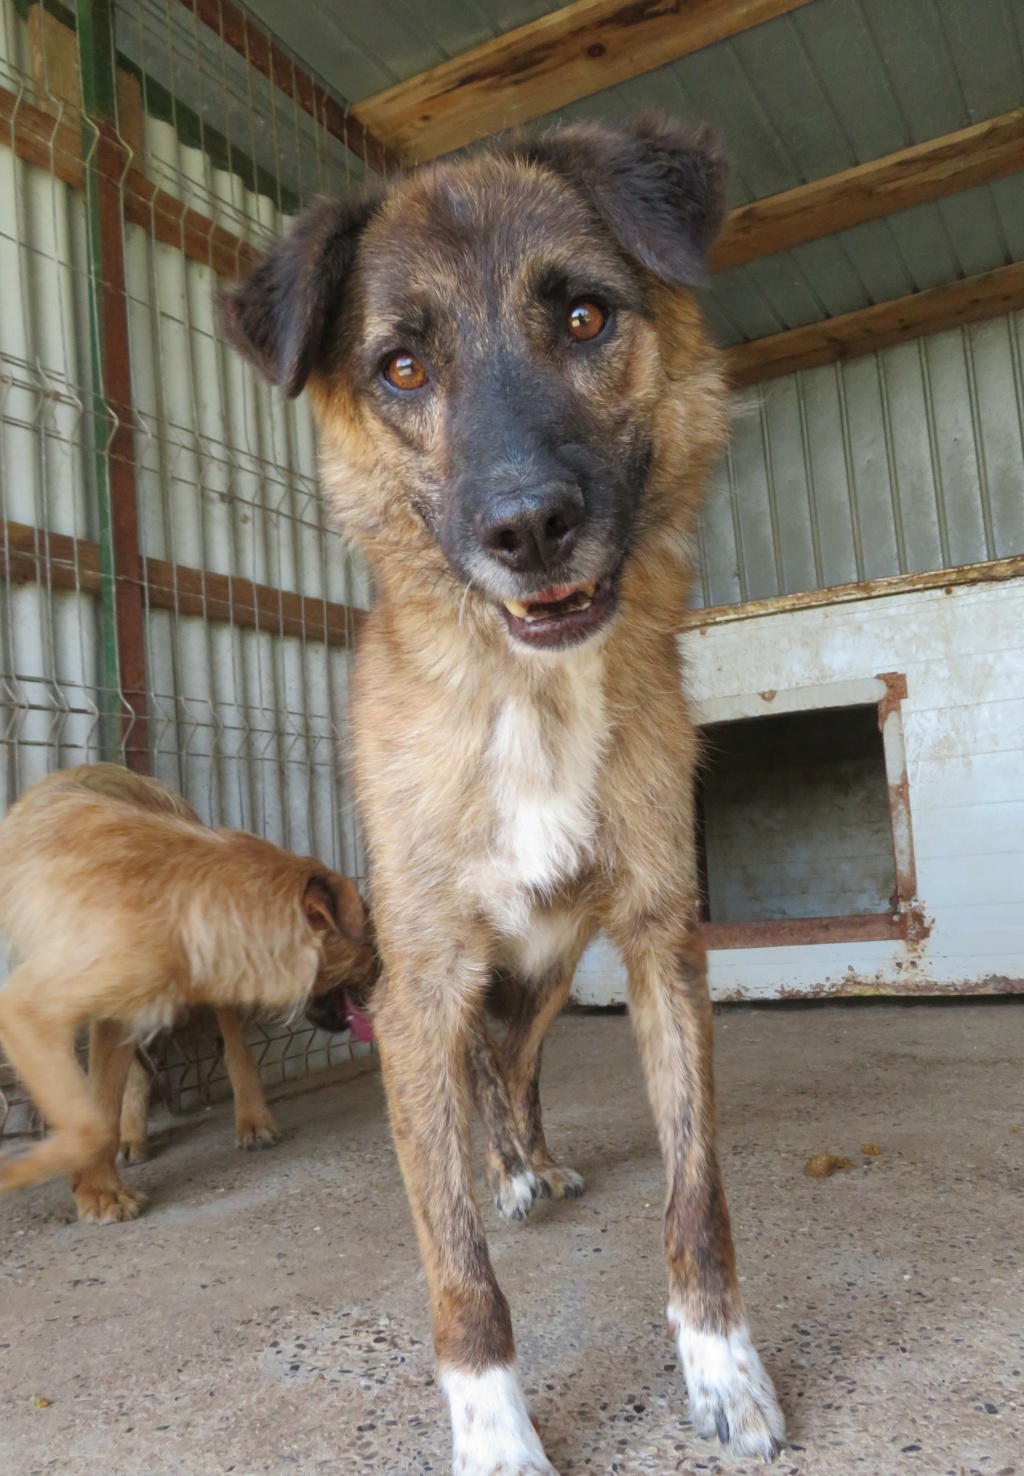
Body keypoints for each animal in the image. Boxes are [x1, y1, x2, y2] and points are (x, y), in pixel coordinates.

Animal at [0, 761, 377, 1222]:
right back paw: (132, 1136)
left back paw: (253, 1120)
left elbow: (96, 1117)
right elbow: (92, 1118)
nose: (388, 976)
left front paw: (92, 1187)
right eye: (372, 942)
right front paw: (92, 1185)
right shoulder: (35, 1010)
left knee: (235, 1048)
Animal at [224, 121, 784, 1470]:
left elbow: (696, 1195)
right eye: (403, 365)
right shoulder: (417, 984)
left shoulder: (662, 944)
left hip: (547, 978)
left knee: (513, 1073)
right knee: (477, 1089)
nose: (528, 528)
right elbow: (456, 1267)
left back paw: (530, 1163)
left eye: (583, 316)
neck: (527, 696)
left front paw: (721, 1366)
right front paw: (493, 1430)